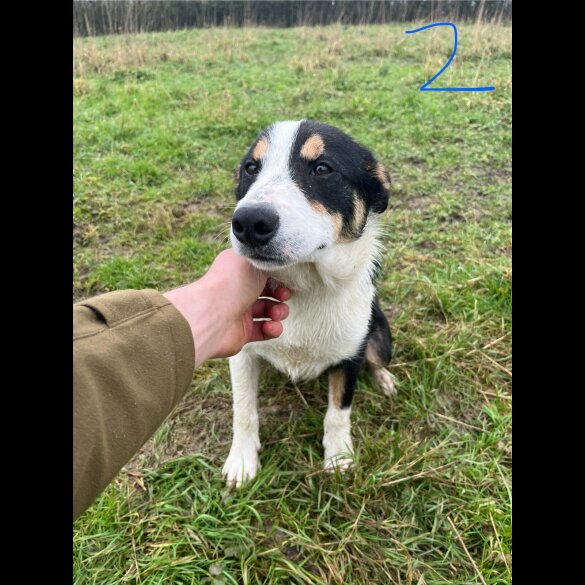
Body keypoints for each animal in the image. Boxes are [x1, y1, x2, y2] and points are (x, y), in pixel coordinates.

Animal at [221, 117, 394, 484]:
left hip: (379, 334)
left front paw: (339, 457)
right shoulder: (242, 352)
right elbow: (243, 409)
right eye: (251, 168)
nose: (249, 223)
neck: (306, 287)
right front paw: (242, 460)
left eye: (322, 168)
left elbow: (338, 412)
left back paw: (385, 379)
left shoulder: (351, 355)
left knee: (377, 359)